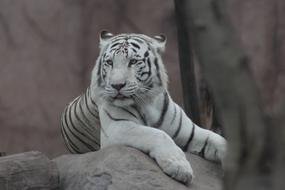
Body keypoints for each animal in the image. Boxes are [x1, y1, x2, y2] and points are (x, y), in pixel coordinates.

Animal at [61, 30, 226, 183]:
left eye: (133, 61)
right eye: (109, 62)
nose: (117, 85)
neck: (148, 102)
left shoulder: (189, 131)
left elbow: (217, 139)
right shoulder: (117, 128)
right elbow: (158, 134)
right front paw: (179, 167)